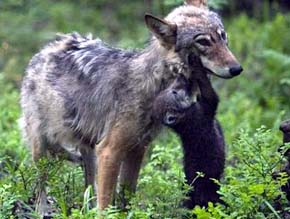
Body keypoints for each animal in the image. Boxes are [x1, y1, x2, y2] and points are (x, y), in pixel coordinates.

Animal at [21, 0, 242, 214]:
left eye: (222, 36)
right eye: (203, 41)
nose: (237, 69)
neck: (155, 84)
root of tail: (46, 49)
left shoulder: (137, 149)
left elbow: (126, 198)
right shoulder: (109, 151)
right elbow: (105, 206)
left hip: (89, 149)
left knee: (87, 188)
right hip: (42, 148)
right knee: (42, 186)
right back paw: (41, 210)